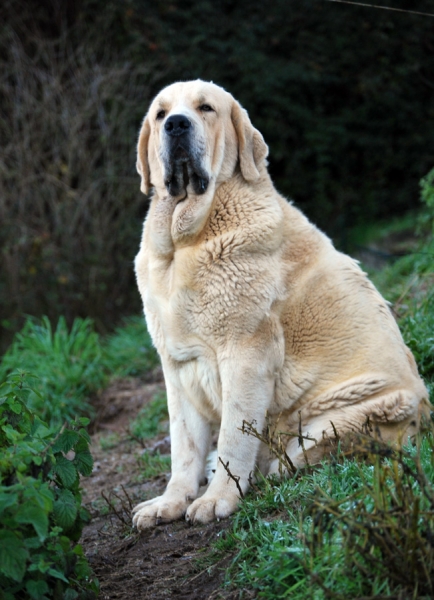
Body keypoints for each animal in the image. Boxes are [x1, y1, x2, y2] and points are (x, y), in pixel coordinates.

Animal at [131, 79, 428, 528]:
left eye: (205, 108)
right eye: (161, 114)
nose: (177, 125)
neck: (184, 243)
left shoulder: (246, 355)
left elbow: (234, 434)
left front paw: (218, 498)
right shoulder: (178, 367)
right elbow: (183, 446)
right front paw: (170, 501)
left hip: (351, 414)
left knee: (295, 455)